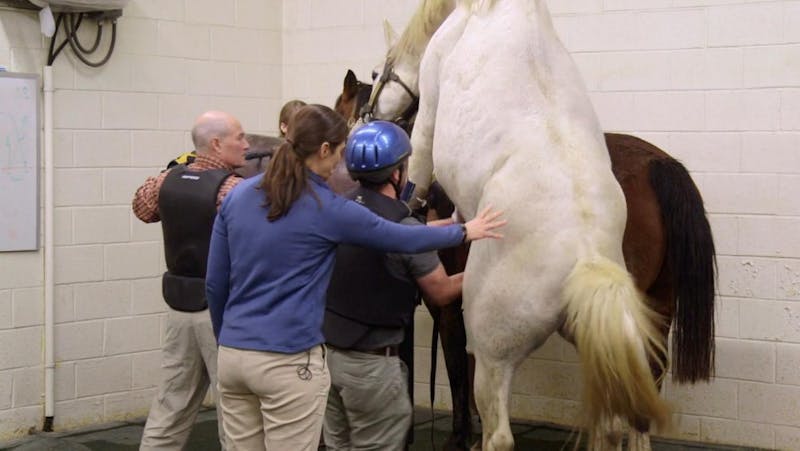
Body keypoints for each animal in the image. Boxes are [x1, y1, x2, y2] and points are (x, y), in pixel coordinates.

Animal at [358, 1, 720, 450]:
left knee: (499, 433)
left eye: (377, 72)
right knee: (617, 424)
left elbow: (419, 169)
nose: (365, 118)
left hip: (496, 354)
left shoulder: (428, 115)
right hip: (623, 342)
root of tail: (584, 262)